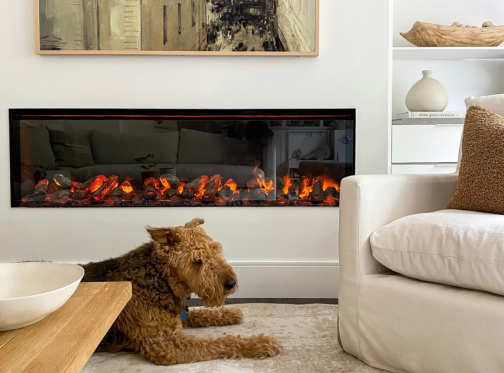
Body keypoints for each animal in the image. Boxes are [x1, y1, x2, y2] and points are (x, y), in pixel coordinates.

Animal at [80, 217, 282, 364]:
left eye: (215, 249)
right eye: (197, 260)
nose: (231, 283)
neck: (160, 279)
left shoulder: (175, 317)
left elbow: (198, 313)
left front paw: (230, 313)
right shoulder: (166, 345)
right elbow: (220, 342)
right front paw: (261, 343)